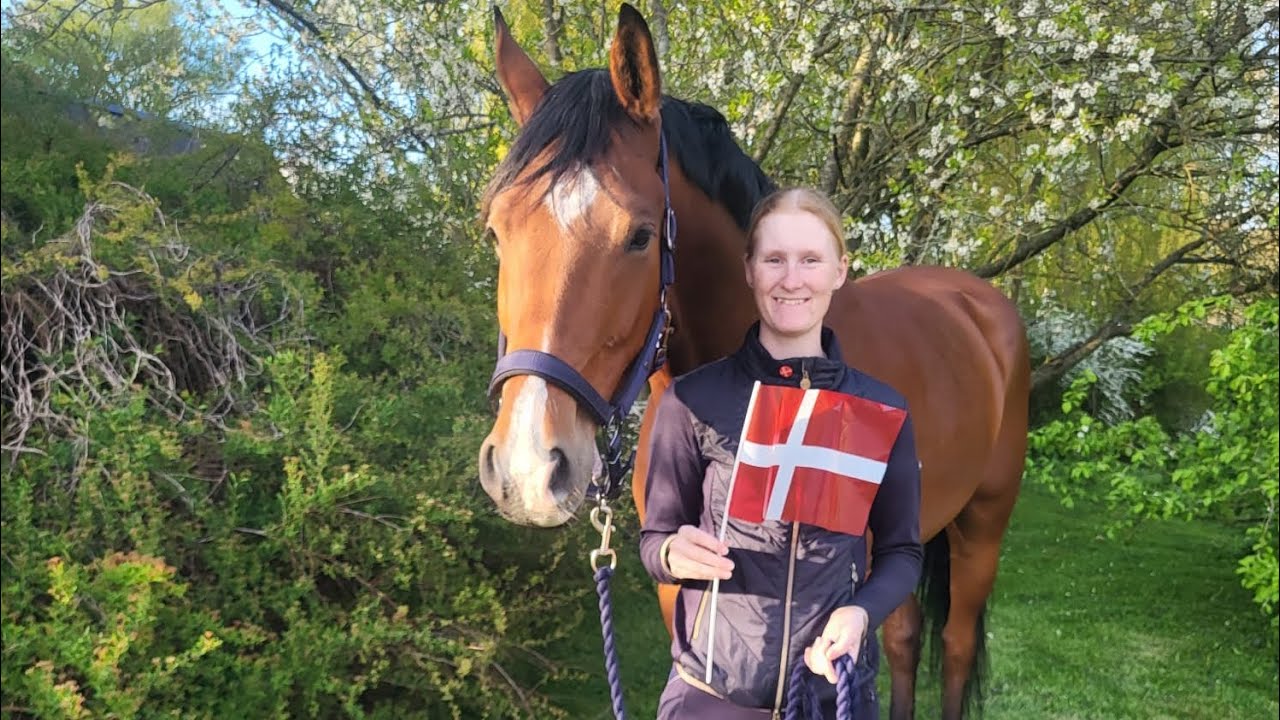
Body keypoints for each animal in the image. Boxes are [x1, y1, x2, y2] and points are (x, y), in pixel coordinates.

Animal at [477, 5, 1029, 719]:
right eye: (496, 229)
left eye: (639, 236)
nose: (526, 469)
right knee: (906, 638)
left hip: (981, 526)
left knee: (956, 646)